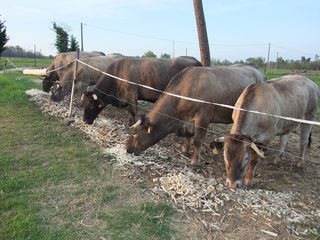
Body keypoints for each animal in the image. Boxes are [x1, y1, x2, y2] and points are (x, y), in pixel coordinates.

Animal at [126, 64, 264, 166]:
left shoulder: (203, 118)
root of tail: (255, 69)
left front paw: (194, 161)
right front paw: (185, 150)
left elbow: (197, 140)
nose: (128, 149)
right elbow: (188, 135)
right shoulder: (188, 121)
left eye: (134, 133)